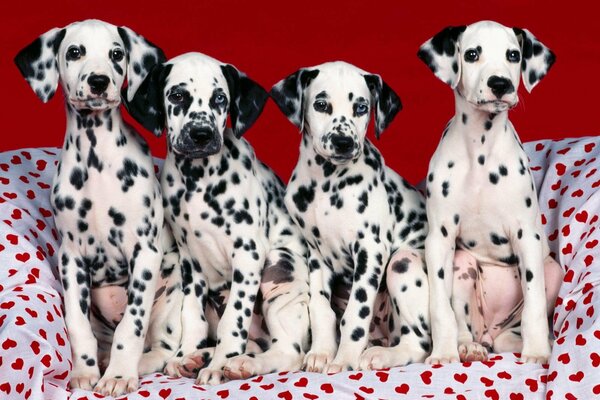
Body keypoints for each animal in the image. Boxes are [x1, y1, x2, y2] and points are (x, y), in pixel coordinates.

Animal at [14, 19, 183, 396]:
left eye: (116, 54)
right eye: (75, 52)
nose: (99, 81)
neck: (97, 159)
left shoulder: (144, 252)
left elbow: (132, 325)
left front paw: (119, 375)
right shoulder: (71, 258)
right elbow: (77, 325)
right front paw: (84, 372)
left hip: (173, 290)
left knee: (162, 347)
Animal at [125, 52, 312, 384]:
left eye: (220, 99)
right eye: (177, 96)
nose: (201, 135)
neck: (198, 179)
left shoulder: (248, 255)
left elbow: (233, 320)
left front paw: (219, 364)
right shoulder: (191, 263)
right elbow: (191, 317)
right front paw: (187, 354)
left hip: (280, 268)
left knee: (288, 351)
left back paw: (244, 363)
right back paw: (199, 357)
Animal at [272, 61, 432, 372]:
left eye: (361, 107)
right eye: (321, 104)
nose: (343, 142)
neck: (326, 183)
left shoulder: (371, 250)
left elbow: (355, 314)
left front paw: (344, 358)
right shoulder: (317, 256)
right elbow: (320, 310)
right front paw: (321, 352)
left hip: (403, 264)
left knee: (418, 342)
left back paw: (381, 355)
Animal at [418, 21, 564, 366]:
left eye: (513, 55)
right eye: (472, 54)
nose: (500, 84)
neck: (480, 152)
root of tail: (491, 330)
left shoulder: (527, 237)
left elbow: (534, 306)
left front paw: (537, 351)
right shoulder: (439, 239)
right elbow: (440, 307)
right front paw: (442, 352)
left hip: (551, 269)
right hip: (462, 264)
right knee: (464, 323)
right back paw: (467, 346)